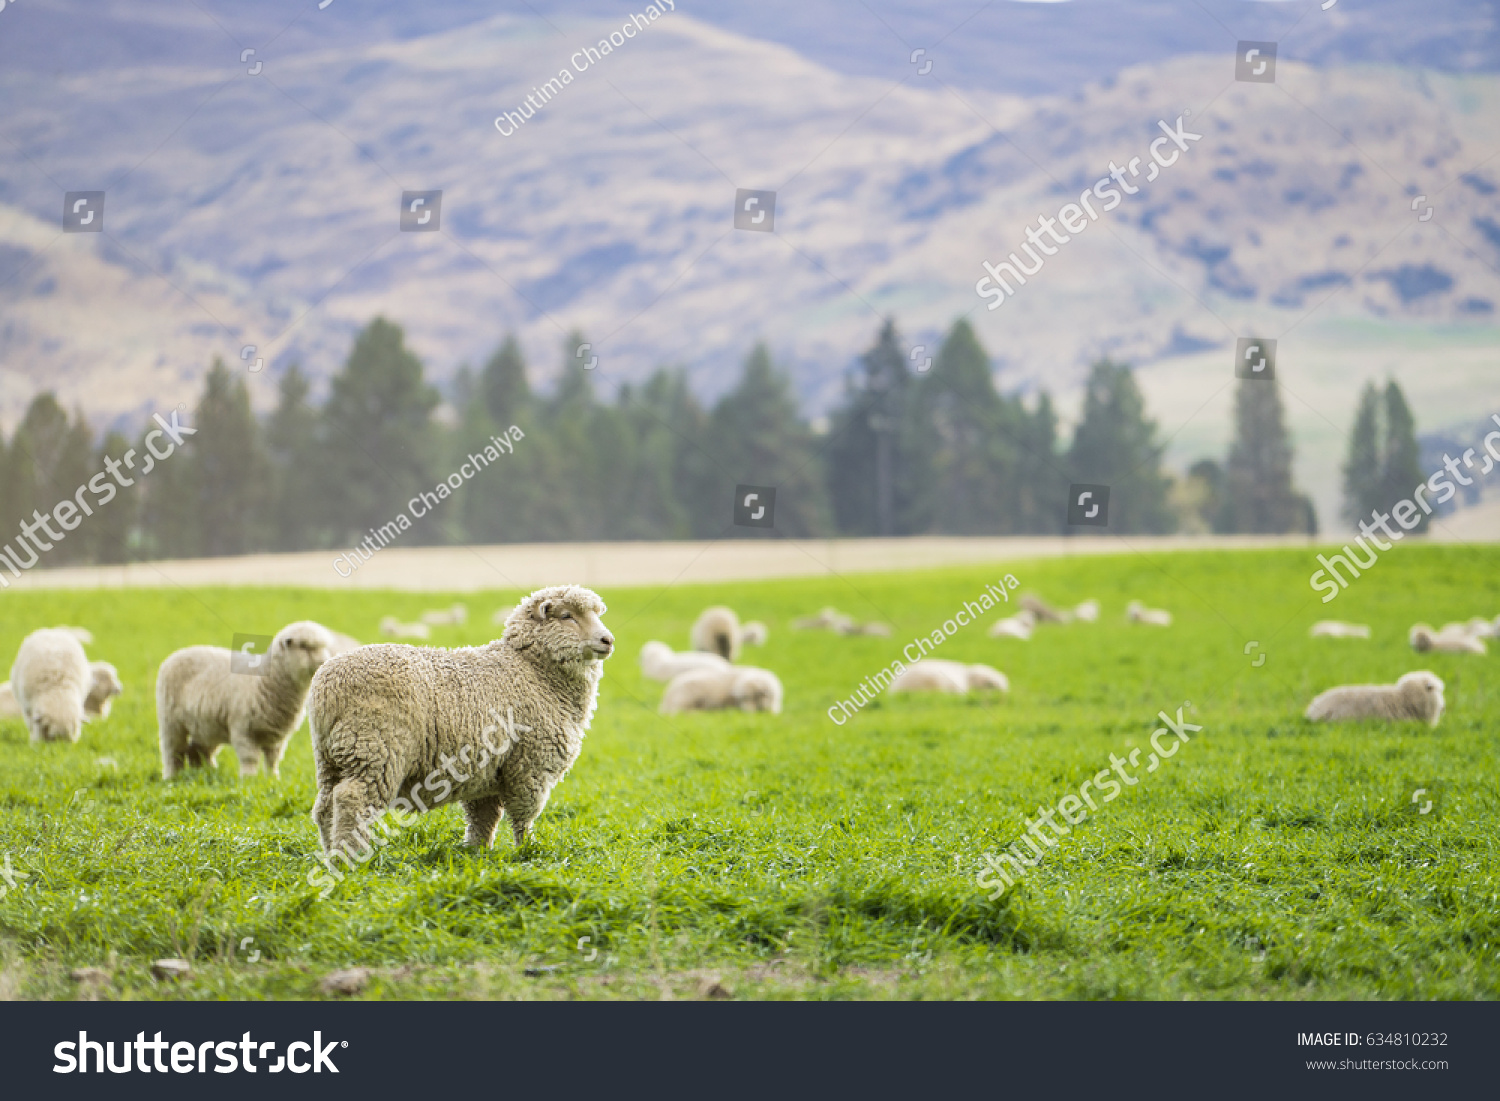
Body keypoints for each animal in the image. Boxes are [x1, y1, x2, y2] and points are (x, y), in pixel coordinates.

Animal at [157, 621, 334, 780]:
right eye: (304, 646)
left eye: (324, 647)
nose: (324, 662)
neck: (264, 680)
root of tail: (176, 654)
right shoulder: (243, 729)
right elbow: (250, 758)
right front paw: (249, 779)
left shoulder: (276, 734)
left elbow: (273, 759)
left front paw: (273, 779)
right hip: (171, 721)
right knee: (173, 751)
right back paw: (173, 777)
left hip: (205, 724)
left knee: (198, 750)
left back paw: (206, 773)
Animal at [307, 585, 613, 856]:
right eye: (567, 616)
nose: (607, 640)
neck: (531, 670)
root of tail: (326, 686)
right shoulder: (529, 766)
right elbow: (523, 817)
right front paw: (527, 850)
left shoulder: (488, 774)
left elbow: (483, 820)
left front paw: (478, 854)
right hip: (376, 749)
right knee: (352, 799)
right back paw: (350, 859)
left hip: (334, 755)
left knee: (325, 807)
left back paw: (330, 854)